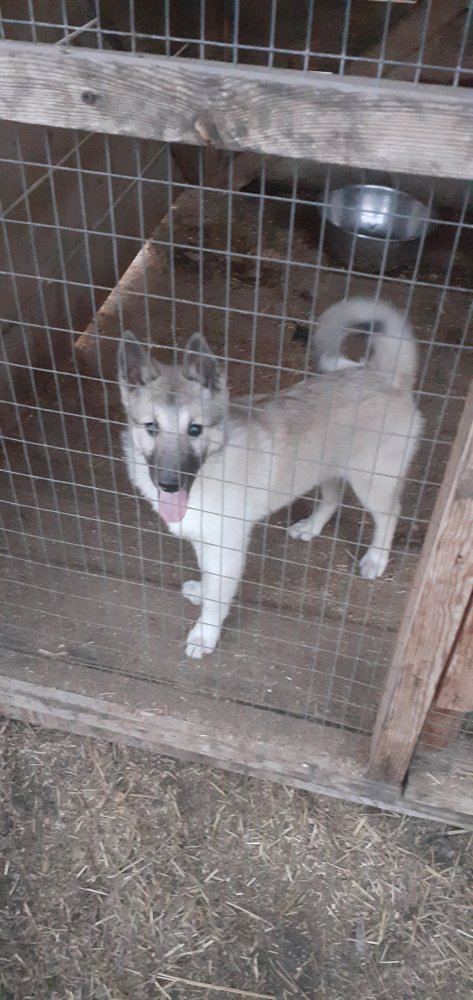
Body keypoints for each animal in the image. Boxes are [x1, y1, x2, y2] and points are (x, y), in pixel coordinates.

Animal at [118, 297, 423, 659]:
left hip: (372, 481)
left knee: (389, 515)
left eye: (195, 430)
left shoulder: (227, 545)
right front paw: (202, 592)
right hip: (324, 467)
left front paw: (205, 634)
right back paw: (310, 528)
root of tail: (385, 376)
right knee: (332, 498)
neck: (212, 467)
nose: (169, 484)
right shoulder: (205, 539)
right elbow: (210, 578)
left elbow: (218, 595)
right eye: (151, 427)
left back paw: (376, 559)